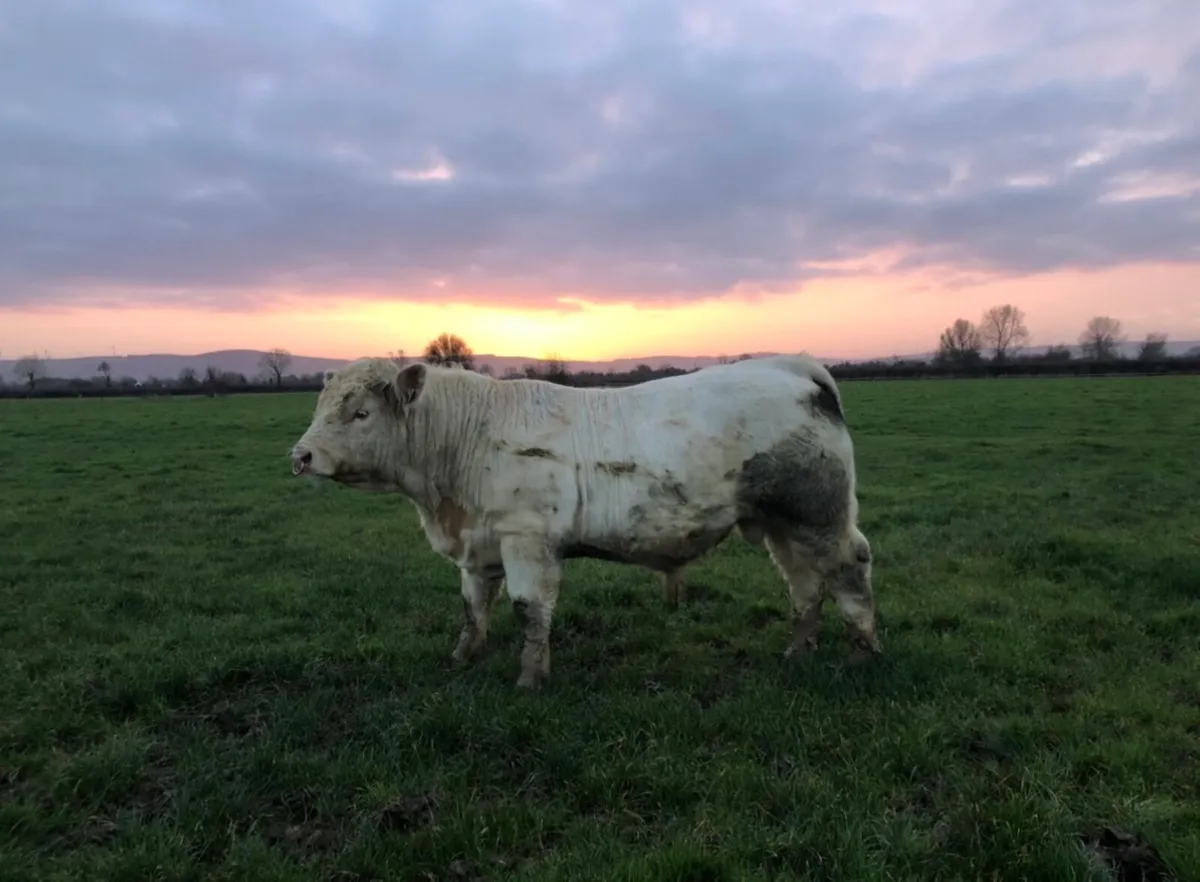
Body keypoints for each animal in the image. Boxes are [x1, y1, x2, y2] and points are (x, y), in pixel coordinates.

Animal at [289, 354, 879, 689]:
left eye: (360, 413)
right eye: (320, 406)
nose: (300, 456)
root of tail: (792, 366)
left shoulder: (526, 539)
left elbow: (529, 610)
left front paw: (530, 679)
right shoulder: (478, 546)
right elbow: (473, 608)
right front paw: (463, 658)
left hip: (818, 513)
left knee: (849, 569)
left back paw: (864, 654)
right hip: (782, 522)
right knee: (805, 585)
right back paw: (798, 650)